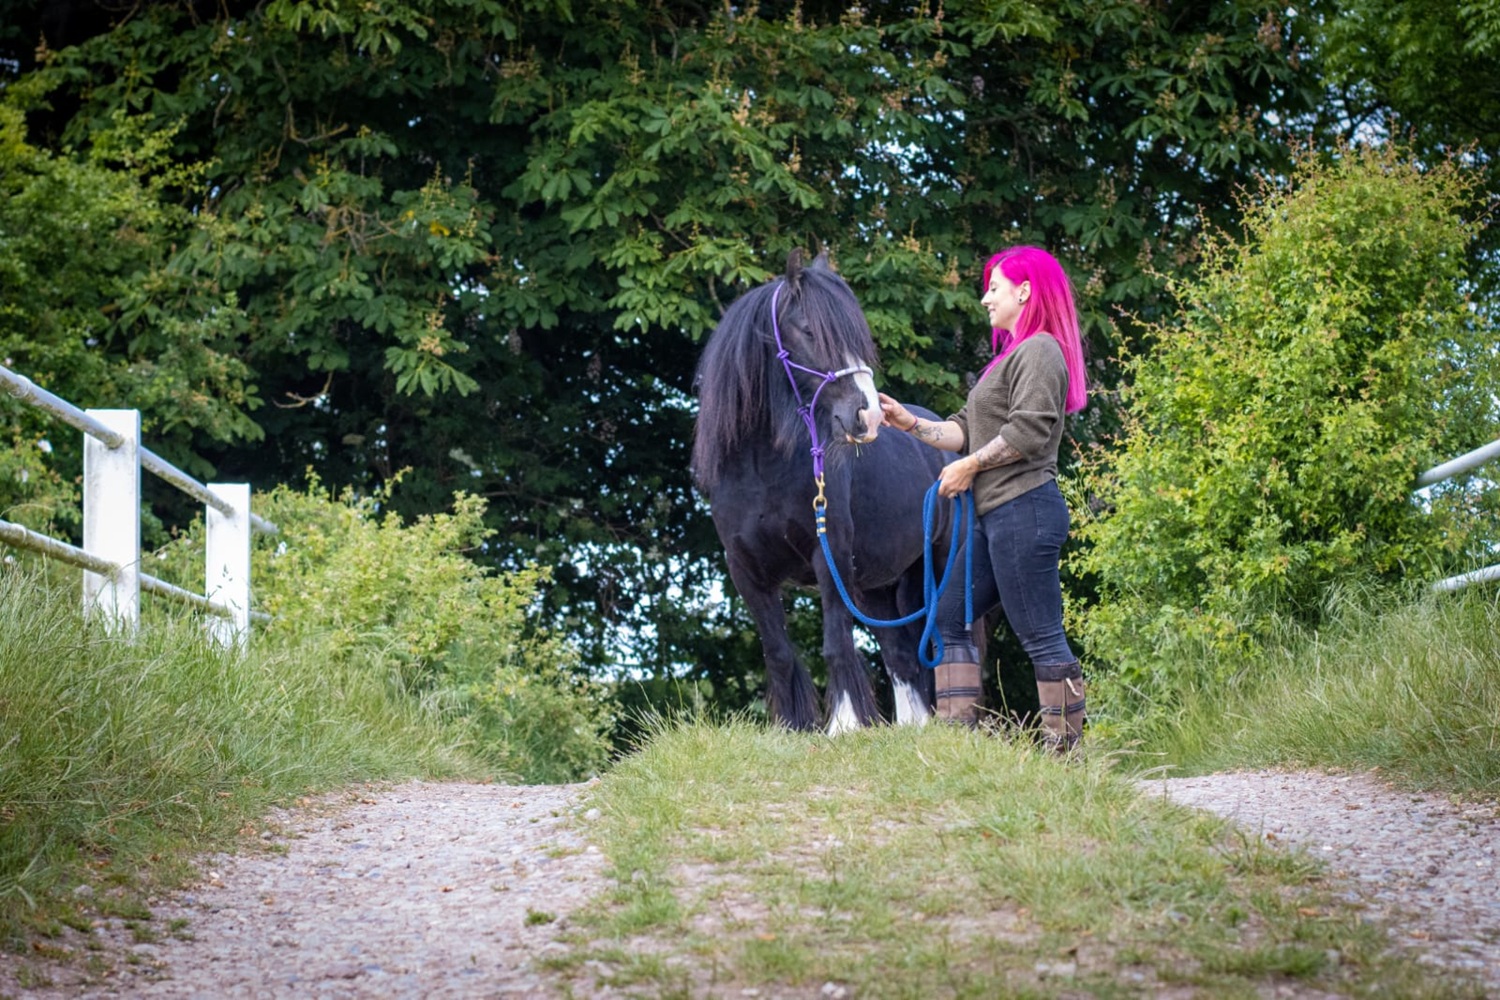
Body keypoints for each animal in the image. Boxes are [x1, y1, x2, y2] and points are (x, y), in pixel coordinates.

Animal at [692, 250, 960, 733]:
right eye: (811, 331)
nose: (869, 416)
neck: (762, 469)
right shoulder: (745, 571)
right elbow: (779, 654)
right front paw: (791, 728)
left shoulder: (828, 552)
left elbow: (836, 644)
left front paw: (845, 726)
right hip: (875, 586)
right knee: (900, 656)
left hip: (934, 571)